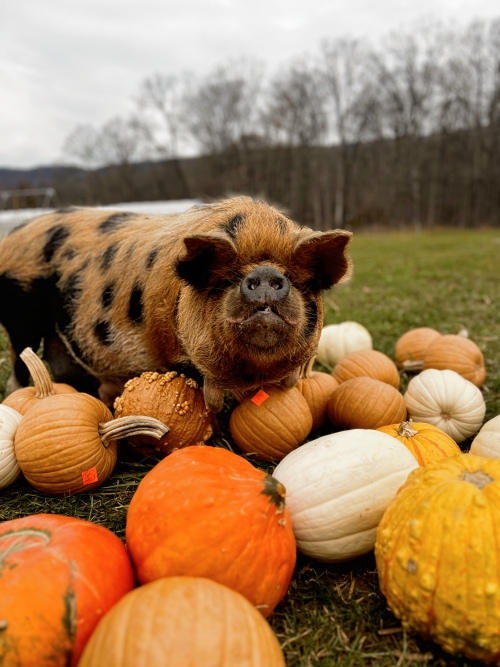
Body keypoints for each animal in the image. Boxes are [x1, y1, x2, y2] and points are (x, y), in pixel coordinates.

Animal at [0, 196, 352, 411]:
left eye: (296, 278)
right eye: (225, 279)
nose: (265, 273)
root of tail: (12, 236)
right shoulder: (176, 359)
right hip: (20, 315)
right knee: (20, 364)